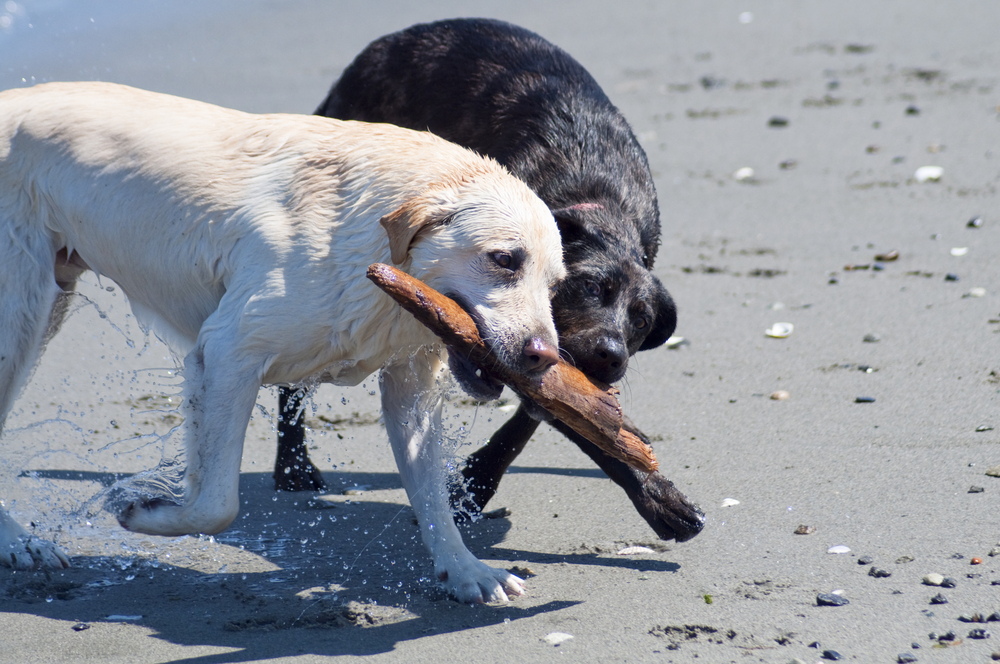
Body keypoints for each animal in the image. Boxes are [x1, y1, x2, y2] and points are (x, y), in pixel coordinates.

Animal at [0, 81, 564, 600]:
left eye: (556, 284)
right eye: (504, 260)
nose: (545, 358)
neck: (367, 237)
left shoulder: (410, 382)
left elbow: (432, 498)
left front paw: (465, 571)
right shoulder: (226, 352)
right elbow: (217, 505)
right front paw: (144, 514)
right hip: (20, 317)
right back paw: (18, 543)